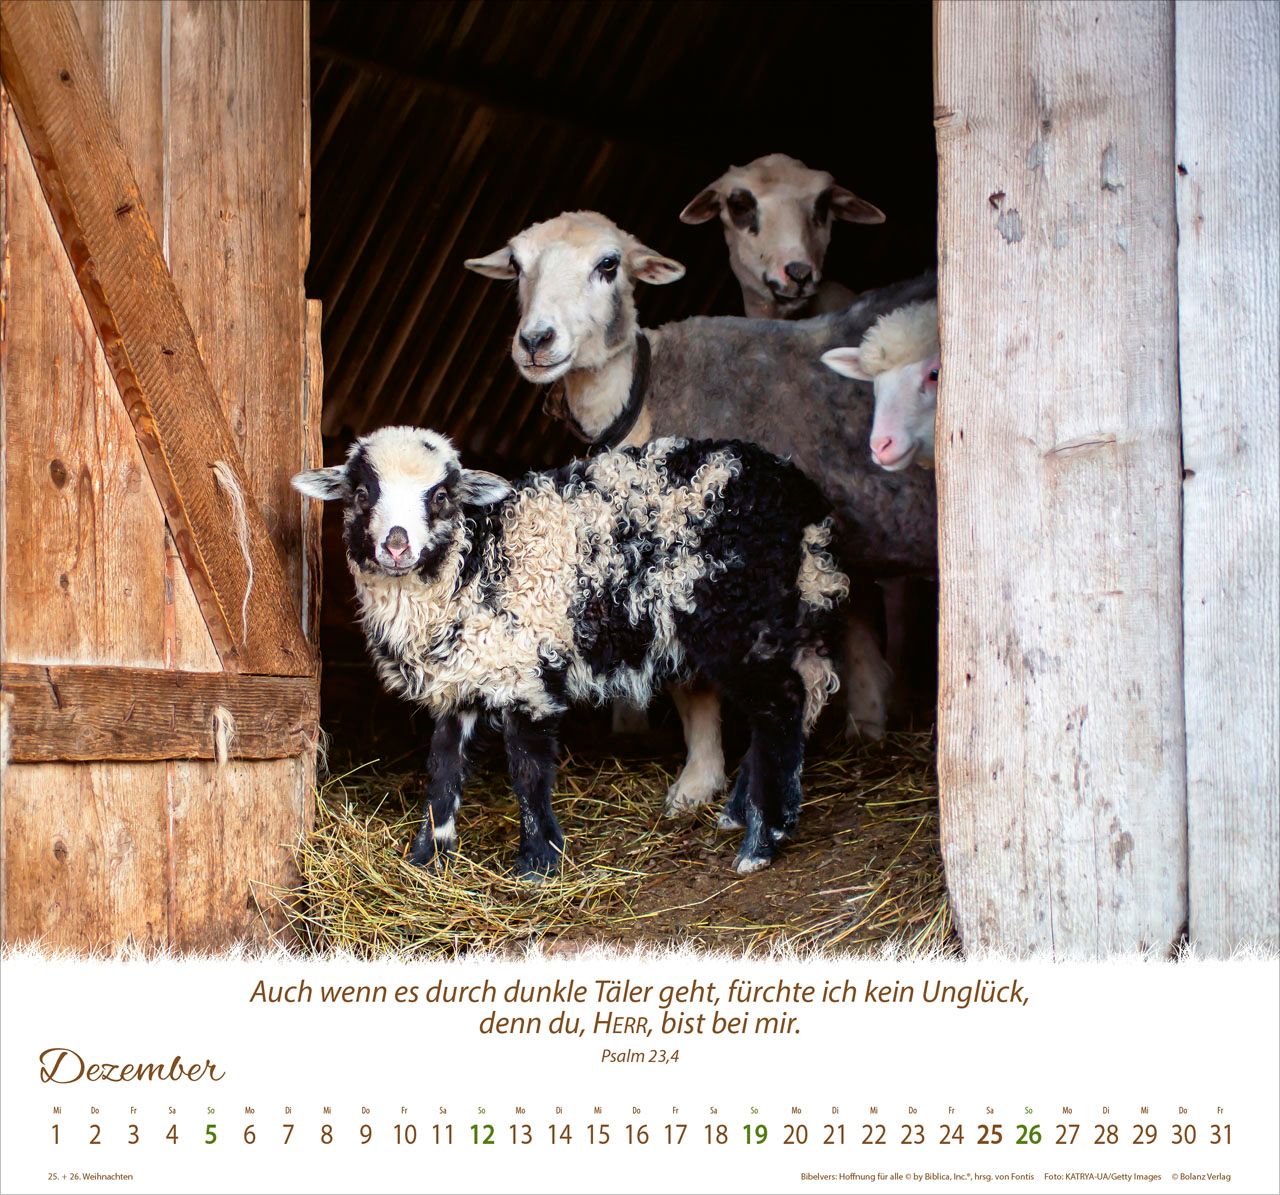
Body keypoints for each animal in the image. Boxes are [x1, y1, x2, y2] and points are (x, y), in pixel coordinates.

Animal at [292, 427, 851, 877]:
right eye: (361, 492)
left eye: (443, 496)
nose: (396, 544)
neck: (474, 561)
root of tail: (795, 491)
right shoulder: (463, 679)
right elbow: (444, 769)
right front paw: (428, 858)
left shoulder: (526, 674)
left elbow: (527, 771)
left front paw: (539, 863)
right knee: (799, 693)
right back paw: (744, 814)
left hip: (738, 616)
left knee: (782, 704)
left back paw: (761, 842)